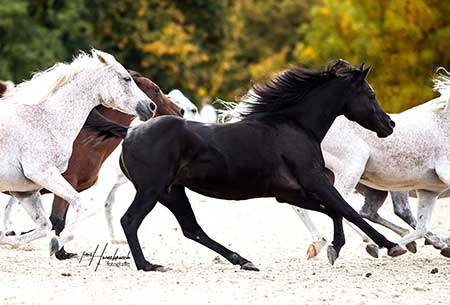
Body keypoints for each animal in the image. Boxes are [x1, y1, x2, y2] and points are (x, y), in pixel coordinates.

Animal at [6, 72, 184, 258]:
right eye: (156, 89)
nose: (181, 111)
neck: (86, 143)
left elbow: (61, 221)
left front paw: (61, 251)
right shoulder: (64, 184)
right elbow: (57, 220)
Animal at [83, 60, 404, 270]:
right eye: (371, 94)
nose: (389, 125)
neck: (294, 126)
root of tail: (129, 133)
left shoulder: (290, 192)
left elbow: (335, 211)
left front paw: (335, 248)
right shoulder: (315, 181)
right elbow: (348, 211)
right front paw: (391, 245)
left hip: (171, 192)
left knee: (191, 228)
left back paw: (242, 260)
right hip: (151, 191)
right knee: (130, 221)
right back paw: (147, 265)